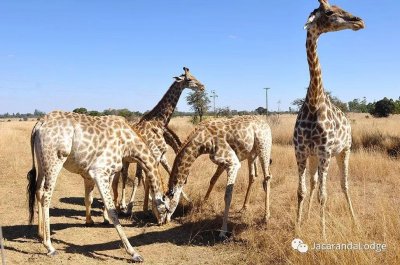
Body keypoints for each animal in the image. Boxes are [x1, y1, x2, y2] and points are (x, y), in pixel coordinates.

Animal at [26, 110, 170, 260]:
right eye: (167, 209)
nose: (162, 223)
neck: (128, 144)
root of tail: (39, 124)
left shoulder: (94, 173)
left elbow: (90, 198)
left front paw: (91, 221)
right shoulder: (100, 172)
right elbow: (112, 210)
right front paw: (133, 252)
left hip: (42, 162)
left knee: (38, 190)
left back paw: (40, 234)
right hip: (55, 160)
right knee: (46, 195)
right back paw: (49, 246)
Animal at [112, 66, 205, 214]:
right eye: (189, 79)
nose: (202, 87)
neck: (158, 123)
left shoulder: (160, 156)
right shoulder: (154, 155)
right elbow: (148, 180)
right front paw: (146, 208)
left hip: (125, 160)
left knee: (121, 178)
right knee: (122, 177)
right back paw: (122, 205)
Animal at [292, 0, 364, 238]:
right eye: (330, 11)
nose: (359, 21)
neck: (315, 102)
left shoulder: (325, 153)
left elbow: (324, 196)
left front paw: (323, 235)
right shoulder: (301, 152)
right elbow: (302, 191)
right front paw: (298, 229)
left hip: (344, 150)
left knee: (344, 184)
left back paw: (354, 221)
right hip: (316, 156)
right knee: (314, 183)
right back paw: (307, 218)